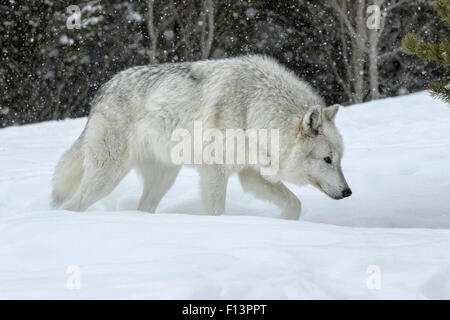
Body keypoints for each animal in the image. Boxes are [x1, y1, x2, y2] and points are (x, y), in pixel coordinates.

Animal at [52, 55, 352, 220]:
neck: (254, 109)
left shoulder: (251, 174)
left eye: (339, 160)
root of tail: (102, 90)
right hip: (108, 176)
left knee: (144, 207)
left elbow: (295, 204)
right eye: (327, 159)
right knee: (71, 205)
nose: (348, 192)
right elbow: (217, 212)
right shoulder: (214, 172)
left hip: (164, 178)